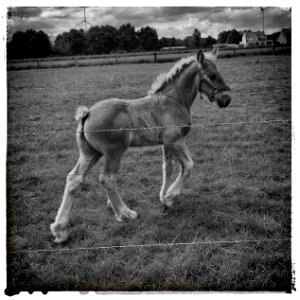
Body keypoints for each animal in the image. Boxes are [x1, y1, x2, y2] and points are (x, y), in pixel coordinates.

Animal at [50, 48, 231, 243]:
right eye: (212, 75)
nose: (226, 99)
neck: (173, 100)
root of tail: (87, 113)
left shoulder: (166, 143)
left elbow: (167, 168)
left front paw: (163, 198)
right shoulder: (176, 141)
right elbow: (188, 166)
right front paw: (170, 197)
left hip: (90, 153)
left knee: (74, 179)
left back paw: (60, 230)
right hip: (113, 152)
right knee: (107, 179)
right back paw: (125, 214)